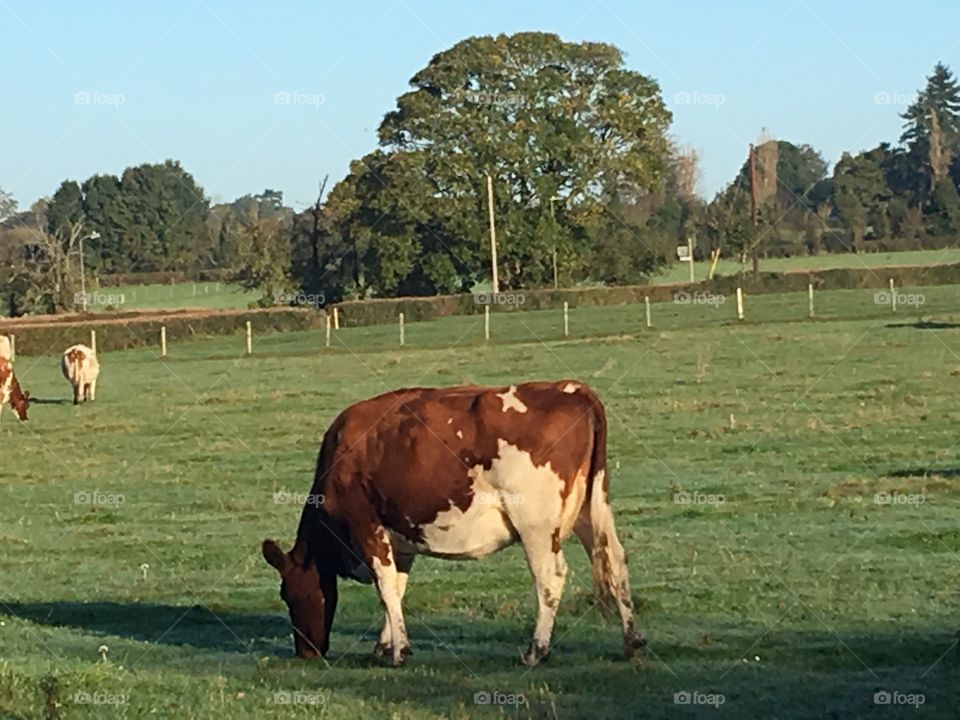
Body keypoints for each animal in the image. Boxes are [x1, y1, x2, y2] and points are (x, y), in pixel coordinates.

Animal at [262, 381, 645, 667]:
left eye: (288, 593)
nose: (306, 653)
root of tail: (572, 388)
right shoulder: (400, 537)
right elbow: (396, 588)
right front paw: (385, 645)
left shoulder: (366, 525)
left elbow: (385, 585)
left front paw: (398, 652)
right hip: (591, 509)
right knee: (616, 562)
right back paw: (632, 642)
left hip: (536, 525)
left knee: (550, 578)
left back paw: (536, 651)